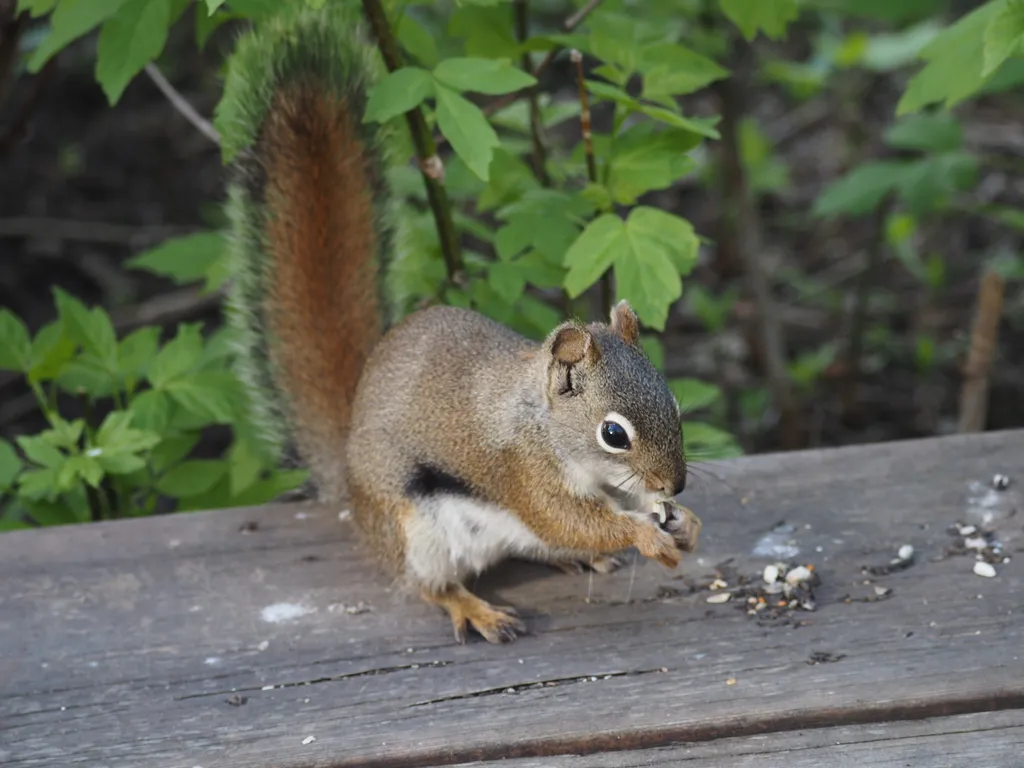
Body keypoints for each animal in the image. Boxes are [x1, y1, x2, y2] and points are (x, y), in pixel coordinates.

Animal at [222, 4, 700, 644]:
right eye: (613, 434)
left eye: (673, 405)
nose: (674, 486)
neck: (543, 422)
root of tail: (349, 482)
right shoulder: (522, 470)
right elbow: (566, 518)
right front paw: (644, 533)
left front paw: (684, 522)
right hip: (413, 530)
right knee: (432, 584)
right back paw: (474, 607)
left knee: (534, 546)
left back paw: (578, 560)